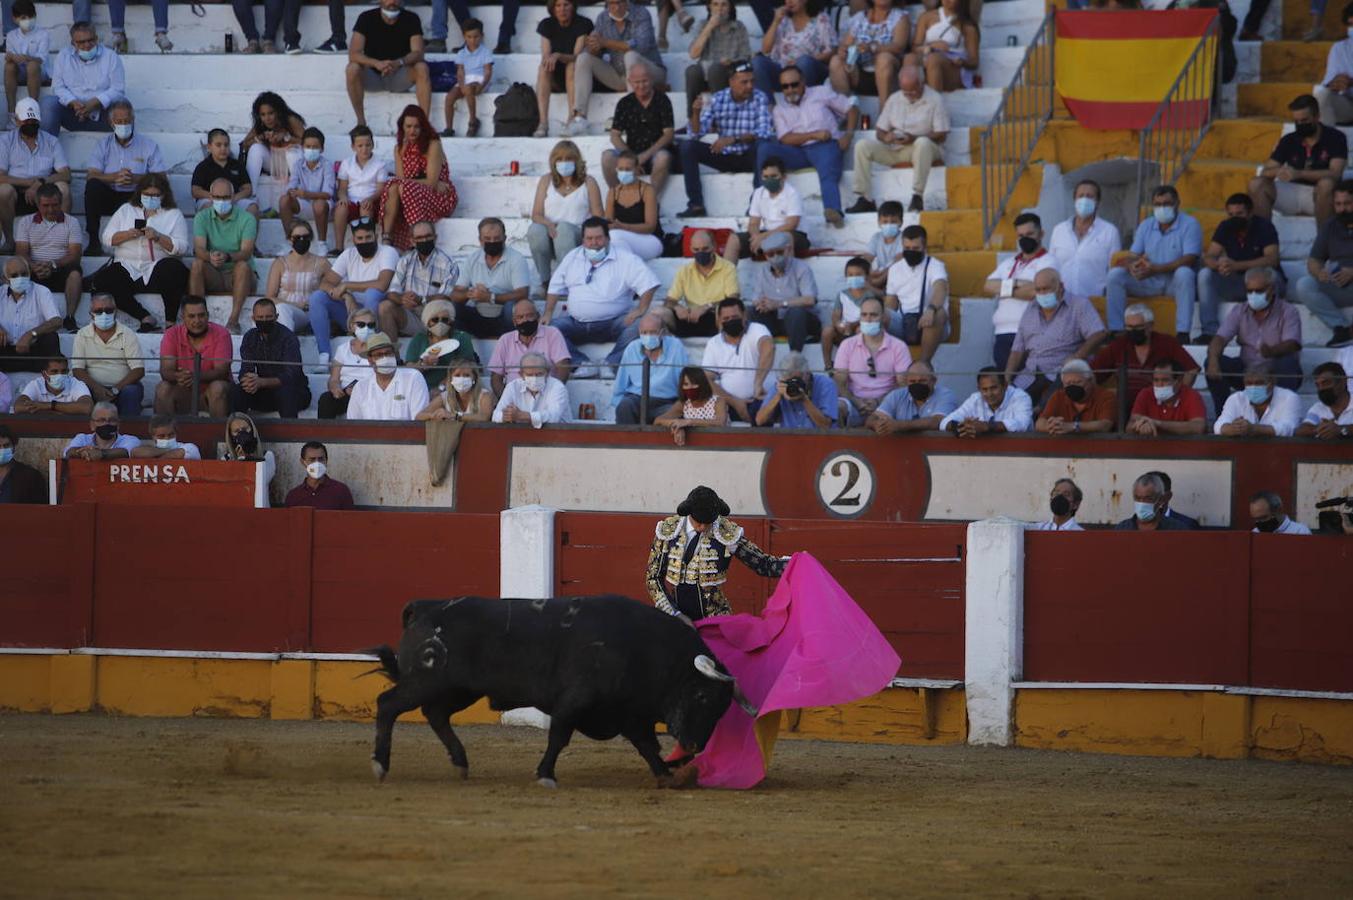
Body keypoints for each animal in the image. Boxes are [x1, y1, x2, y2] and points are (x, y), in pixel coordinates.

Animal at [365, 592, 757, 784]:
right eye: (701, 695)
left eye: (721, 709)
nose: (693, 747)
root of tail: (423, 608)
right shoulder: (574, 701)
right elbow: (559, 737)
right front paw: (545, 775)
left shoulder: (630, 713)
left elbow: (647, 746)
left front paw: (666, 775)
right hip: (425, 681)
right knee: (387, 704)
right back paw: (380, 766)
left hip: (457, 690)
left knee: (436, 715)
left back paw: (461, 764)